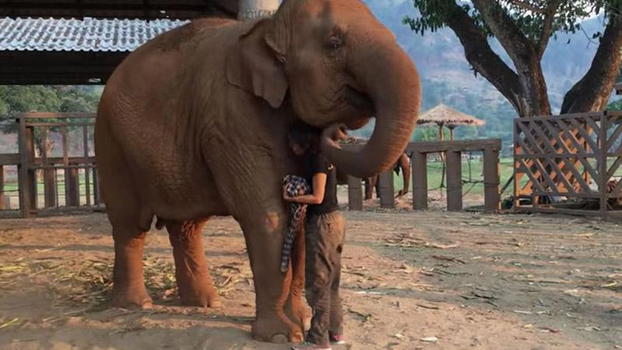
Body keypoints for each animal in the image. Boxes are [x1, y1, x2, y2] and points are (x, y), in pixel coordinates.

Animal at [95, 0, 422, 342]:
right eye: (334, 43)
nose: (336, 132)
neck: (268, 29)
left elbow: (298, 218)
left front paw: (300, 320)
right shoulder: (230, 119)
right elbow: (269, 216)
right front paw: (281, 335)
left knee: (186, 227)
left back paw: (205, 303)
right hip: (111, 143)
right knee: (129, 223)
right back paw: (135, 305)